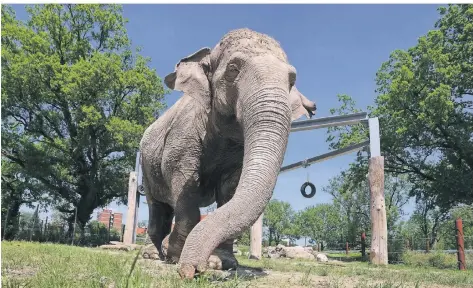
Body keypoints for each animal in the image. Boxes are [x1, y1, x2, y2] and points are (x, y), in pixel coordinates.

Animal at [140, 27, 318, 280]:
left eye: (292, 80)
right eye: (234, 68)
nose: (192, 270)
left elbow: (229, 190)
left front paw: (221, 263)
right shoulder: (182, 136)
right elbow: (184, 183)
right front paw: (175, 256)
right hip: (146, 165)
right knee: (157, 208)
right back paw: (154, 254)